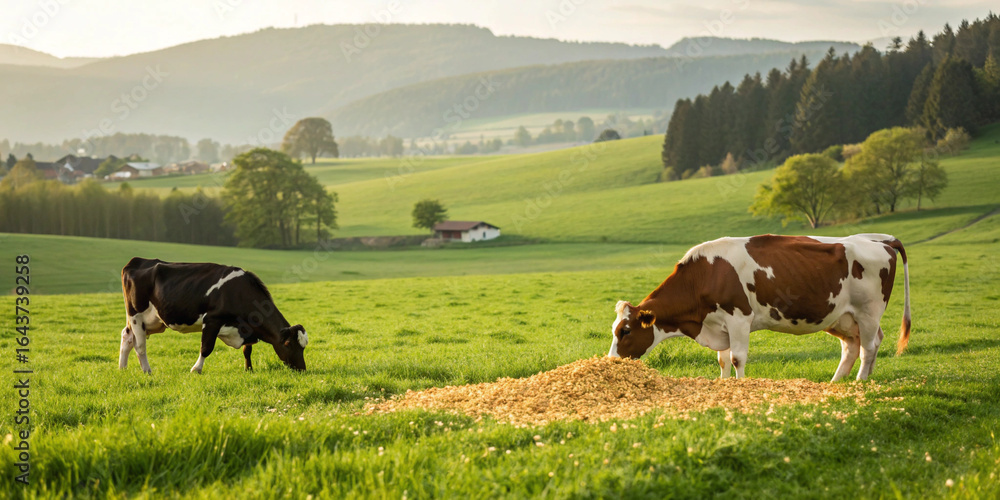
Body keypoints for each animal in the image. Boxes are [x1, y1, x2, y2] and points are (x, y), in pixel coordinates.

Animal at [118, 257, 308, 373]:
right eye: (287, 343)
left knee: (126, 337)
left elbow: (247, 350)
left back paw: (122, 369)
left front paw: (249, 369)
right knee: (140, 345)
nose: (302, 369)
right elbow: (206, 347)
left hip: (144, 321)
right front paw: (196, 369)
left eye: (303, 346)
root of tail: (137, 261)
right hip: (136, 315)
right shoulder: (212, 319)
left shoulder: (246, 326)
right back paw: (147, 371)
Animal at [608, 234, 910, 381]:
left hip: (868, 311)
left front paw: (740, 385)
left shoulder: (739, 317)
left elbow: (737, 358)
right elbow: (722, 360)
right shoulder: (719, 324)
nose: (610, 362)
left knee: (868, 347)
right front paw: (724, 384)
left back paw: (860, 381)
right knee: (853, 347)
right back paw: (839, 381)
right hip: (842, 317)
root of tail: (882, 240)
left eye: (625, 331)